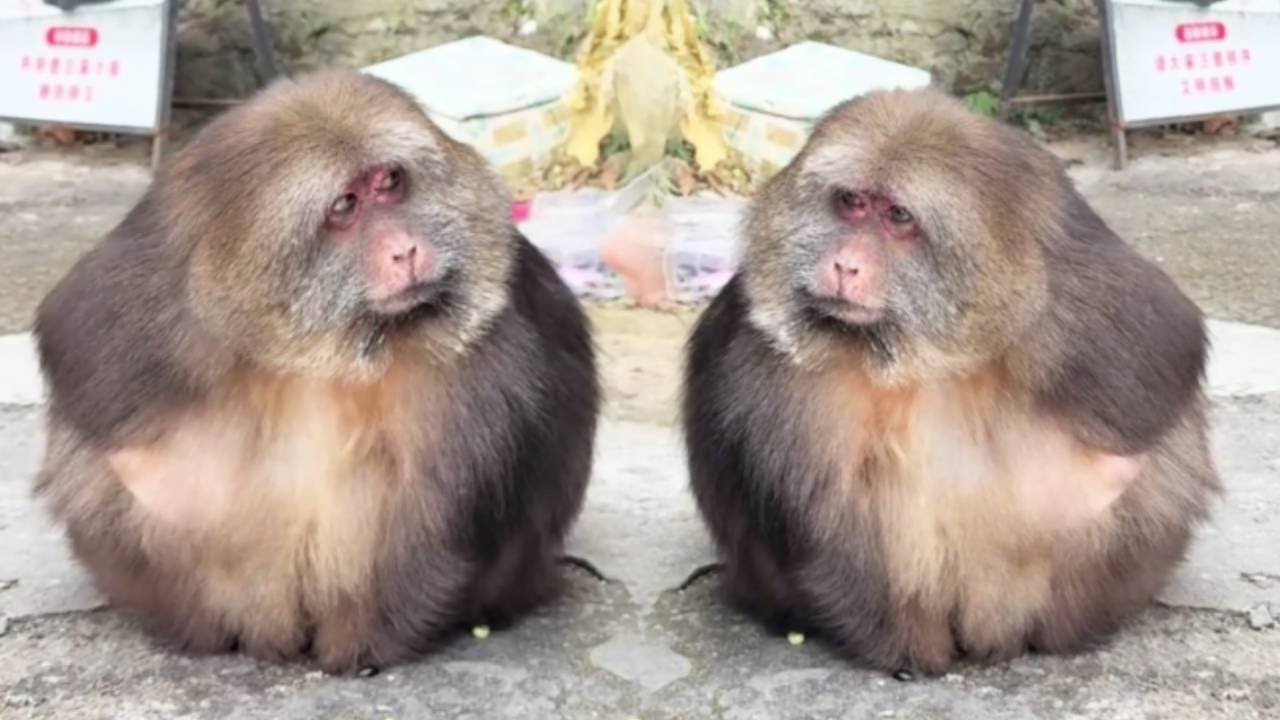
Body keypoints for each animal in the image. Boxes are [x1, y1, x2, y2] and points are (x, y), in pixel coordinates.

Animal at [32, 69, 599, 674]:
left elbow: (455, 490)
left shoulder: (497, 326)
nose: (406, 250)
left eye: (390, 182)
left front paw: (368, 641)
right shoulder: (145, 301)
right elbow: (92, 392)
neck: (325, 345)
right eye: (346, 206)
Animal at [681, 88, 1219, 676]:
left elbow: (1160, 363)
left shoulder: (1072, 289)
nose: (844, 265)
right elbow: (805, 501)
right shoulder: (760, 344)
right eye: (851, 203)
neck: (921, 352)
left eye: (897, 217)